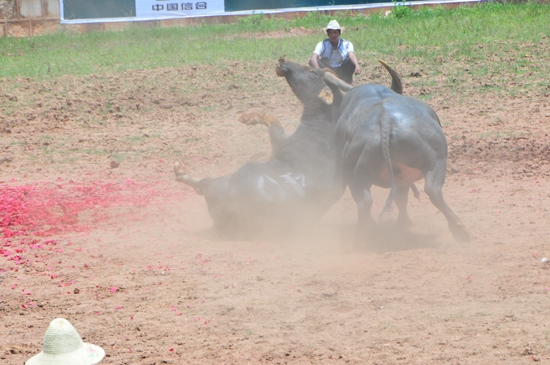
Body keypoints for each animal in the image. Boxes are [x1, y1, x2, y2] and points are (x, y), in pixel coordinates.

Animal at [172, 57, 402, 236]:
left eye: (312, 71)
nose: (283, 62)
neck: (324, 127)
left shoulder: (280, 143)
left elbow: (273, 120)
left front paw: (246, 117)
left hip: (222, 180)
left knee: (202, 184)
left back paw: (181, 172)